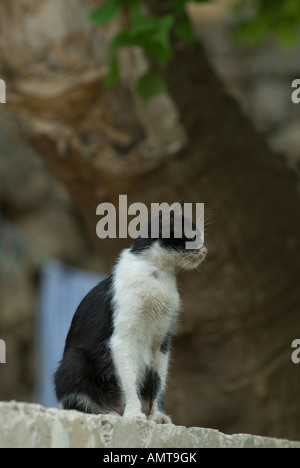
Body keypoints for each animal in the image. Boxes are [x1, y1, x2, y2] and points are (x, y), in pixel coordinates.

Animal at [54, 201, 206, 424]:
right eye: (193, 236)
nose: (205, 250)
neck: (157, 274)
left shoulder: (162, 343)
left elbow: (159, 381)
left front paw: (157, 415)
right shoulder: (121, 340)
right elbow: (128, 378)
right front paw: (134, 414)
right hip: (74, 360)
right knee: (77, 403)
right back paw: (109, 413)